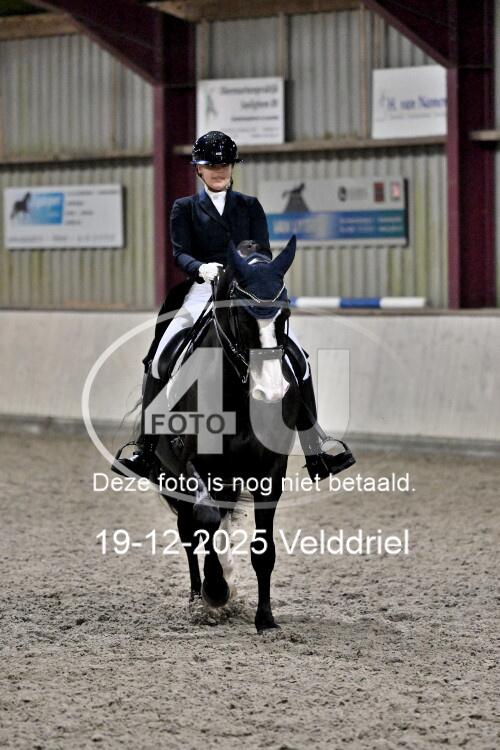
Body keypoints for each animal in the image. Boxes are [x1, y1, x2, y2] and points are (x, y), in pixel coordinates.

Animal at [152, 236, 300, 632]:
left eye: (285, 314)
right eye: (243, 314)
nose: (271, 392)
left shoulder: (270, 472)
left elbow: (263, 550)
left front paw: (265, 619)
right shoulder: (191, 464)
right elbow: (203, 523)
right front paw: (216, 591)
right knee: (190, 530)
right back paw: (198, 599)